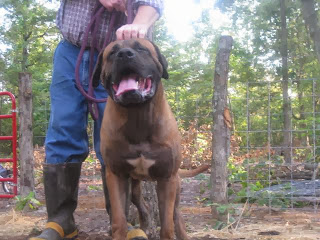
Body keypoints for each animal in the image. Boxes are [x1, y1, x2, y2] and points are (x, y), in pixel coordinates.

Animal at [92, 39, 196, 240]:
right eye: (112, 52)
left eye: (141, 48)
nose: (124, 54)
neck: (137, 116)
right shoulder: (116, 175)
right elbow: (119, 221)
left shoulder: (167, 179)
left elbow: (167, 226)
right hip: (134, 183)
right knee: (141, 203)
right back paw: (145, 224)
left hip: (175, 186)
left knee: (177, 217)